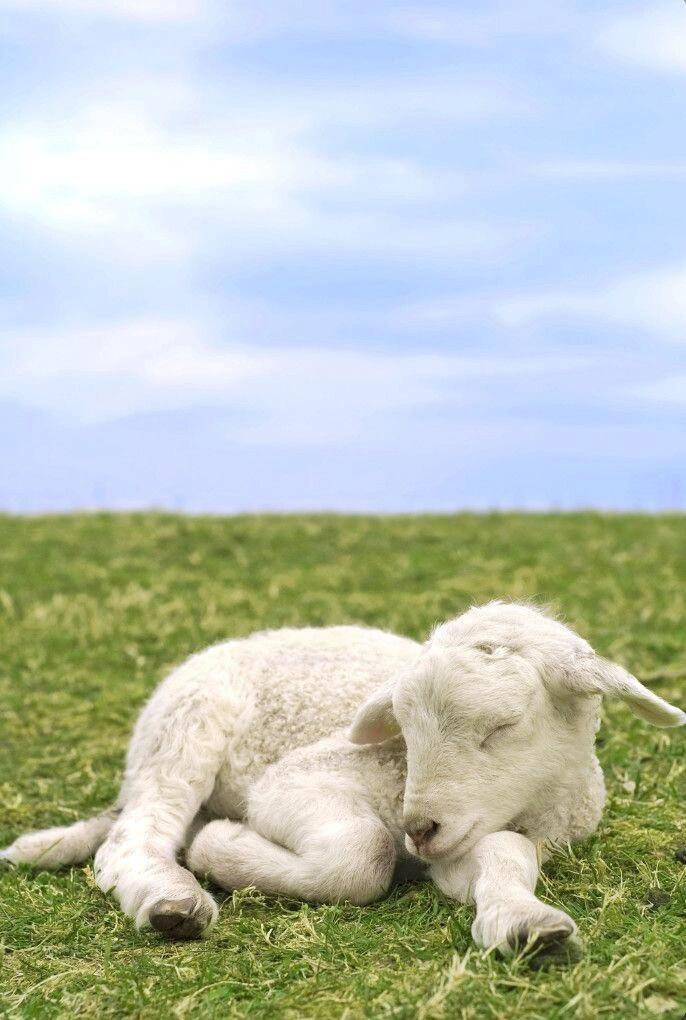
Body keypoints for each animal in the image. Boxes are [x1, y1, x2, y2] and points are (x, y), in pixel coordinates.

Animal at [2, 599, 680, 950]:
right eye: (404, 727)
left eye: (503, 727)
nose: (420, 827)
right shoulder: (298, 780)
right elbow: (362, 853)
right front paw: (221, 847)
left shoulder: (472, 839)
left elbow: (504, 858)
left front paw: (527, 926)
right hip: (183, 734)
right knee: (135, 838)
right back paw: (173, 899)